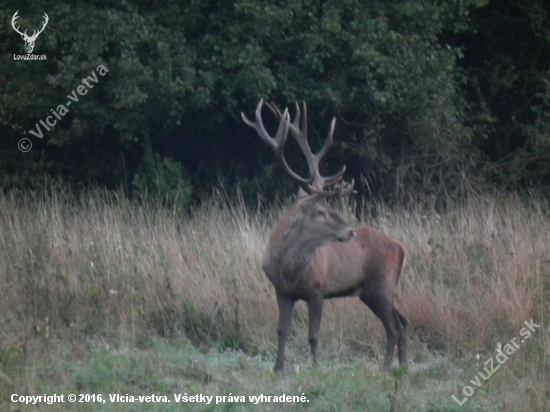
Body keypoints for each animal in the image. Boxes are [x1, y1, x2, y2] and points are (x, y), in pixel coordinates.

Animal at [242, 99, 410, 370]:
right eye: (321, 211)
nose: (350, 231)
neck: (289, 271)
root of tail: (401, 247)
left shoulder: (317, 289)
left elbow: (313, 335)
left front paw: (316, 367)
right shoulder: (282, 291)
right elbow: (282, 330)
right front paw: (278, 368)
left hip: (381, 284)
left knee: (393, 326)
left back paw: (386, 368)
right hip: (372, 291)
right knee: (403, 322)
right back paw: (402, 367)